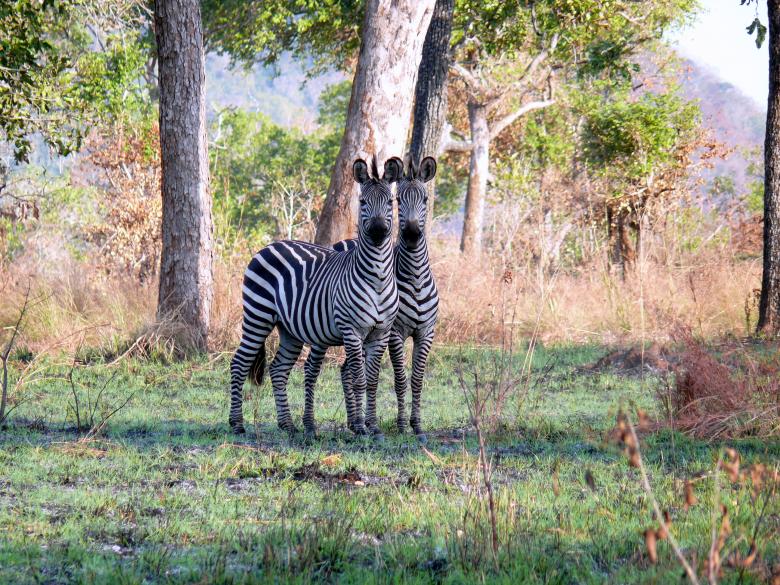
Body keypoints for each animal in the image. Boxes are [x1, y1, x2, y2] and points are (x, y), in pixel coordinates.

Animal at [228, 156, 403, 439]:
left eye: (390, 202)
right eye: (363, 202)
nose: (378, 232)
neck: (377, 278)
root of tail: (270, 245)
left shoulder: (381, 332)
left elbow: (373, 381)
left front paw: (373, 427)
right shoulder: (351, 330)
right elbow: (359, 379)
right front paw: (361, 428)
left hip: (288, 329)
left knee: (278, 369)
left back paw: (287, 424)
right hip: (257, 316)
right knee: (239, 363)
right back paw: (237, 423)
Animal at [333, 156, 439, 440]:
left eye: (425, 199)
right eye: (399, 199)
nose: (411, 234)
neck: (415, 278)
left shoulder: (426, 331)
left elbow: (417, 379)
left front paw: (417, 426)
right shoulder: (395, 333)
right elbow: (400, 379)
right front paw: (401, 426)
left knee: (347, 369)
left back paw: (353, 421)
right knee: (349, 371)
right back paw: (355, 422)